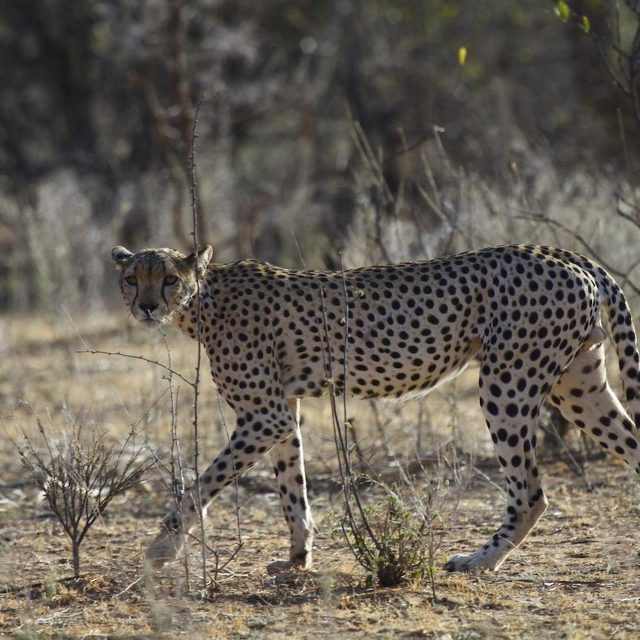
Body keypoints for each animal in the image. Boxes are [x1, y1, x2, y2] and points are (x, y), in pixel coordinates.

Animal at [112, 242, 640, 572]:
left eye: (169, 279)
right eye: (132, 278)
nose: (147, 306)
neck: (204, 300)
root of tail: (561, 252)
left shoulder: (265, 415)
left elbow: (199, 488)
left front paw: (161, 550)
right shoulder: (283, 412)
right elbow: (292, 487)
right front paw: (298, 558)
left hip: (508, 383)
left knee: (530, 493)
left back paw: (476, 561)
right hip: (579, 385)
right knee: (630, 444)